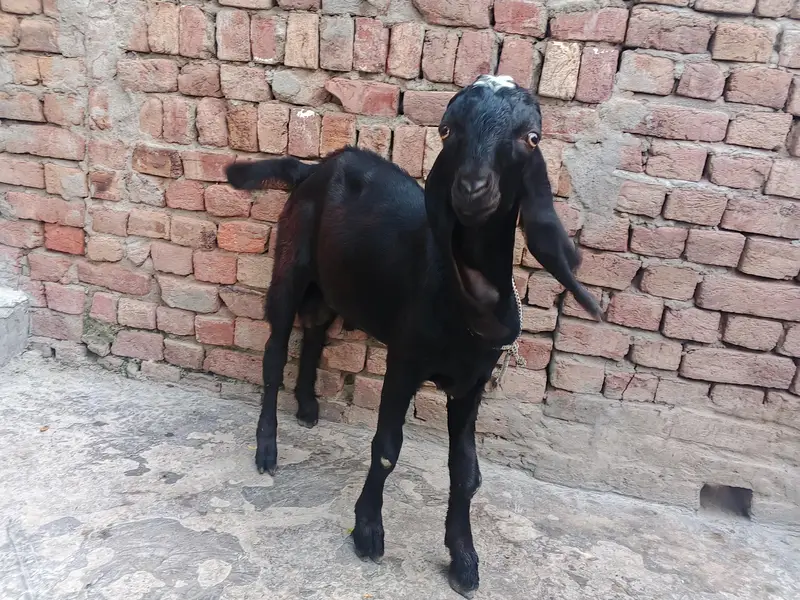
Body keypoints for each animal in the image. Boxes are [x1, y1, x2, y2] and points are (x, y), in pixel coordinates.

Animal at [225, 75, 601, 598]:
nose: (473, 188)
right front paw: (367, 531)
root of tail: (312, 169)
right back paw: (267, 449)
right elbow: (386, 448)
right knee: (275, 349)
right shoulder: (404, 363)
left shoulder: (472, 385)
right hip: (291, 262)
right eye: (446, 130)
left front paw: (464, 559)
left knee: (316, 327)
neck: (466, 300)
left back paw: (307, 406)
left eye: (531, 137)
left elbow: (466, 472)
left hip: (336, 283)